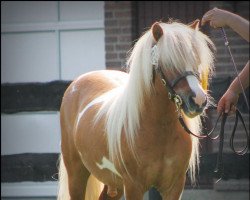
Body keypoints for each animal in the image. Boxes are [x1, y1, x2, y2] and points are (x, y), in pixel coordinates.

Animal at [57, 19, 215, 200]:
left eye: (196, 59)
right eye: (168, 62)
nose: (198, 100)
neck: (158, 128)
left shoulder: (174, 186)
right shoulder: (133, 186)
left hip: (114, 185)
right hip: (77, 175)